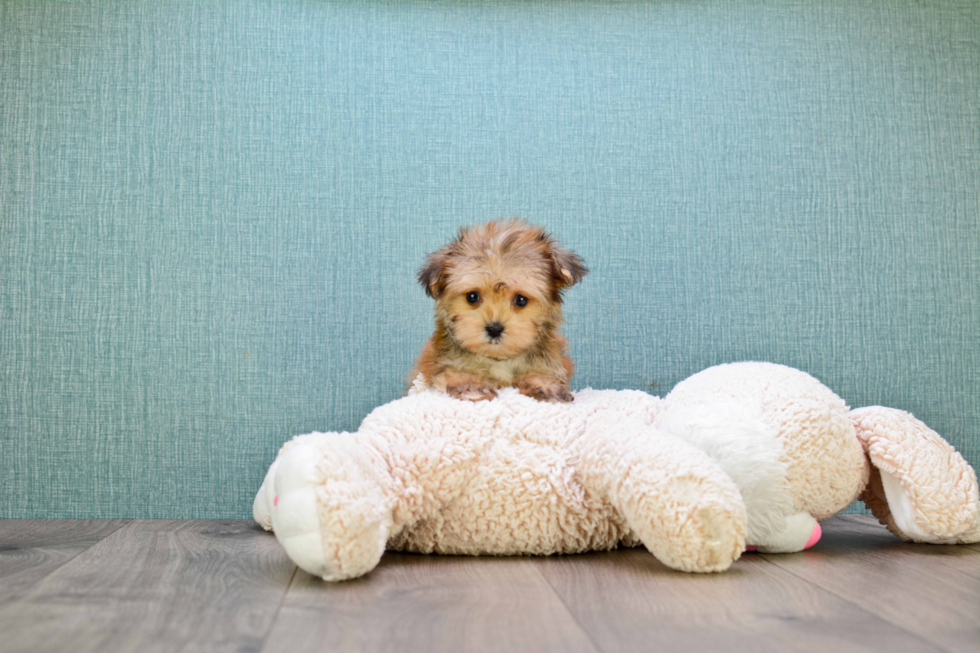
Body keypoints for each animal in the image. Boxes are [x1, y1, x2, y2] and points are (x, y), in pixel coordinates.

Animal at [410, 219, 584, 402]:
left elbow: (542, 373)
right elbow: (458, 372)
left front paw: (547, 387)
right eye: (472, 296)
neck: (499, 359)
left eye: (521, 300)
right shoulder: (446, 363)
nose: (494, 329)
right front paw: (472, 387)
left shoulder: (550, 360)